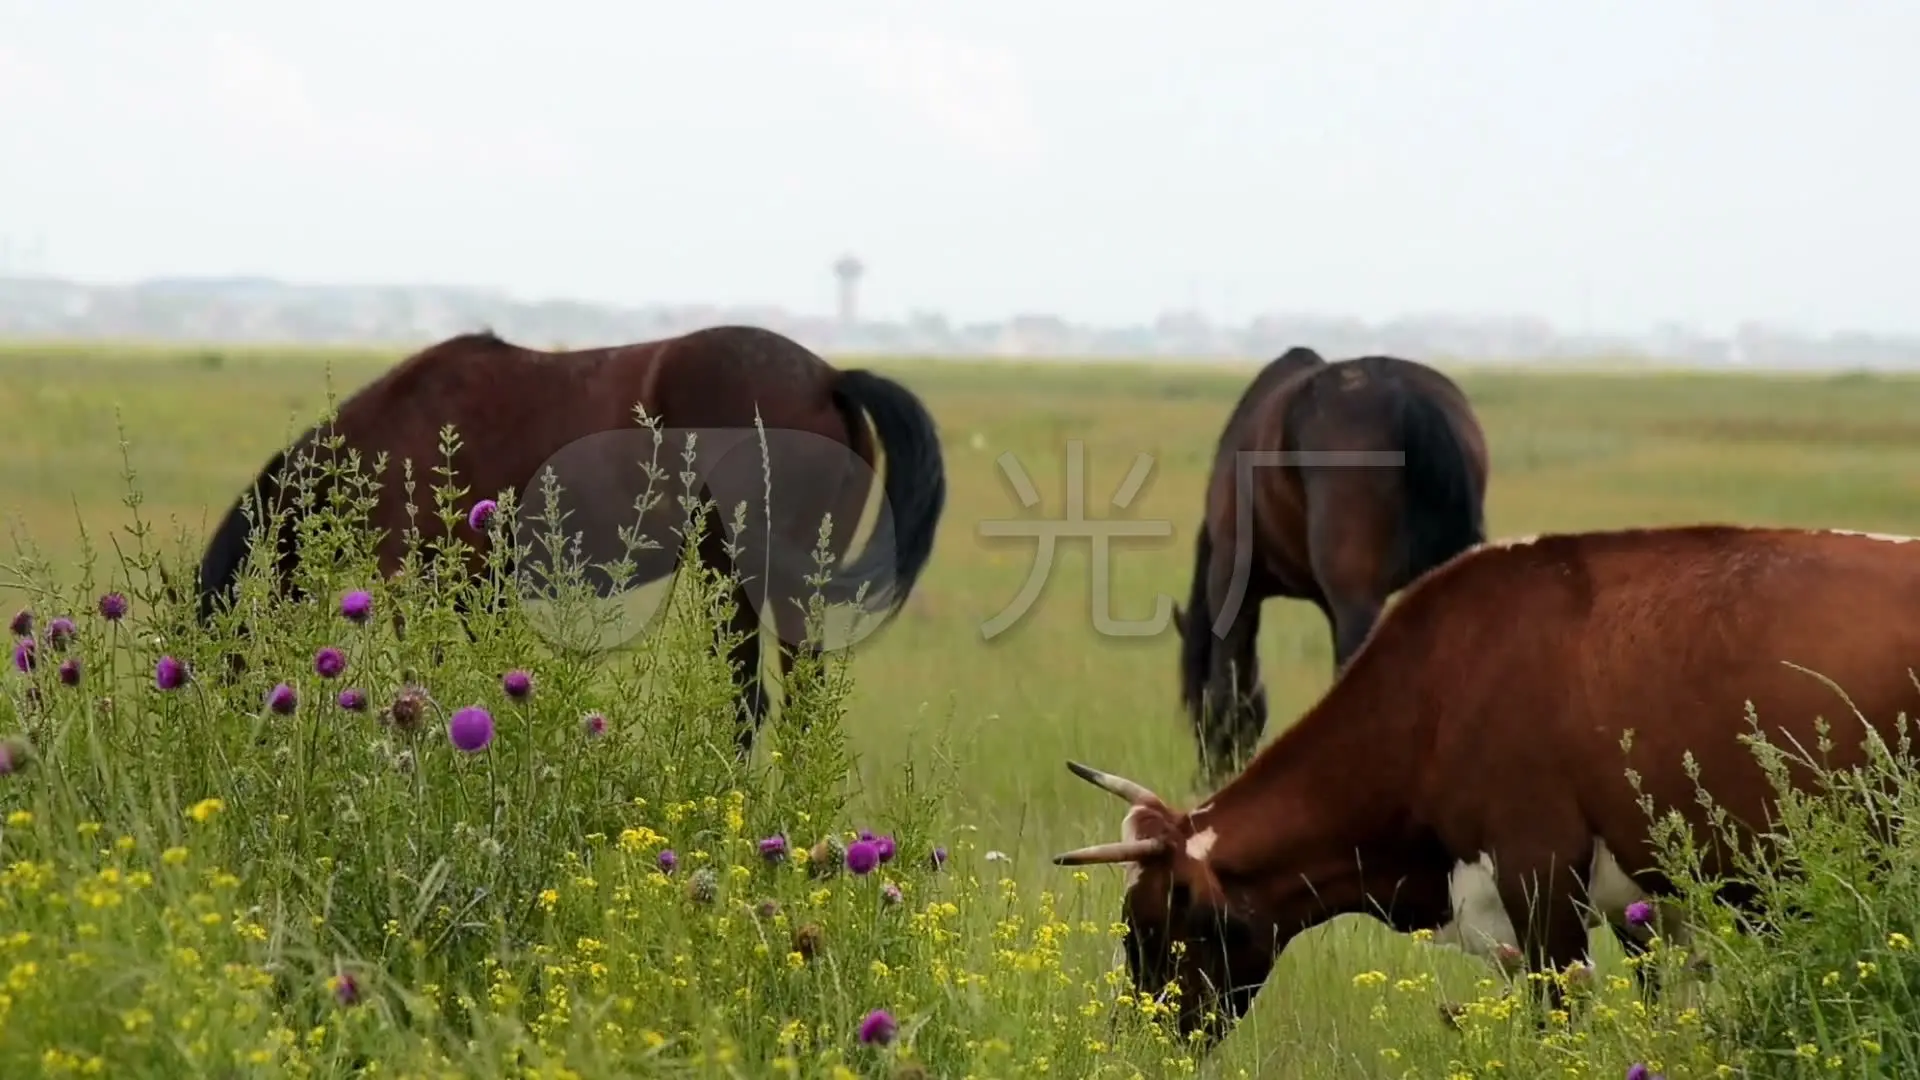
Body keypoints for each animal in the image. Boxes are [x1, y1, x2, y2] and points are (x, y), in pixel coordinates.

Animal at [192, 322, 944, 753]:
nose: (223, 741)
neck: (390, 432)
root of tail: (829, 378)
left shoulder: (419, 583)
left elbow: (420, 682)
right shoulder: (477, 592)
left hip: (744, 573)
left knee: (760, 697)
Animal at [1159, 349, 1489, 787]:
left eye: (1193, 709)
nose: (1208, 778)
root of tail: (1408, 399)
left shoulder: (1231, 581)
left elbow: (1226, 684)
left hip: (1357, 602)